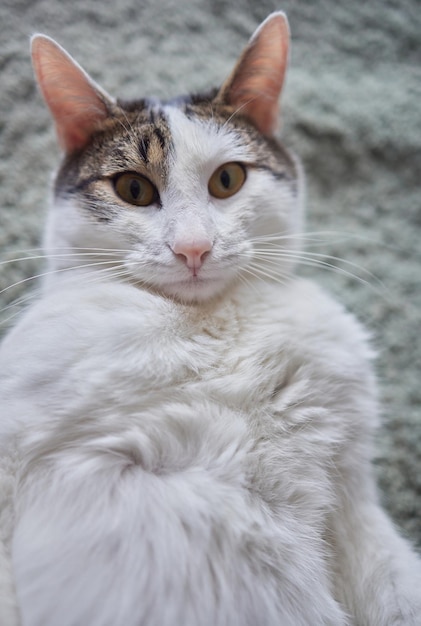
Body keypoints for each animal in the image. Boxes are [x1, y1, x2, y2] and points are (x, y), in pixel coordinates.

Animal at [0, 9, 420, 624]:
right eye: (133, 188)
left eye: (228, 180)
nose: (193, 248)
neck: (212, 327)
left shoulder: (353, 495)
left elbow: (394, 582)